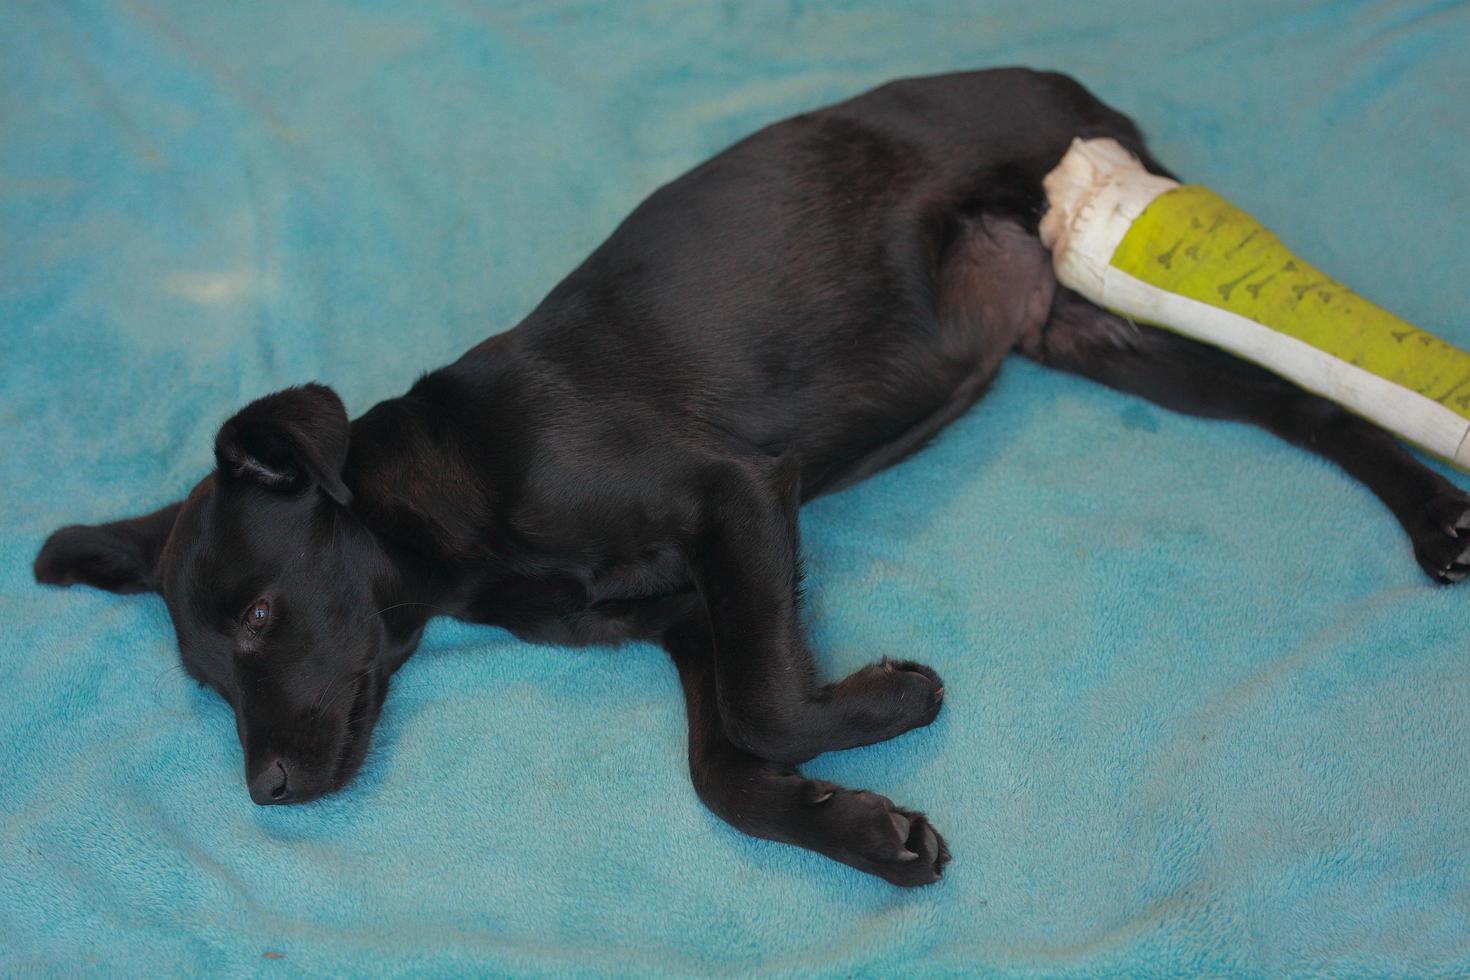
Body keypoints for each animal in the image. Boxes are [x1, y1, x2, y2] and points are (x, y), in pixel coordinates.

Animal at [34, 70, 1470, 887]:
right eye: (204, 680)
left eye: (262, 615)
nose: (264, 795)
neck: (451, 504)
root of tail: (1055, 73)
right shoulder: (685, 615)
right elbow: (723, 767)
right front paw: (861, 827)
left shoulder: (736, 501)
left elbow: (771, 705)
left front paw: (889, 699)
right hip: (1091, 331)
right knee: (1294, 405)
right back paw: (1429, 513)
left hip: (1126, 241)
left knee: (1313, 377)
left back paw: (1437, 512)